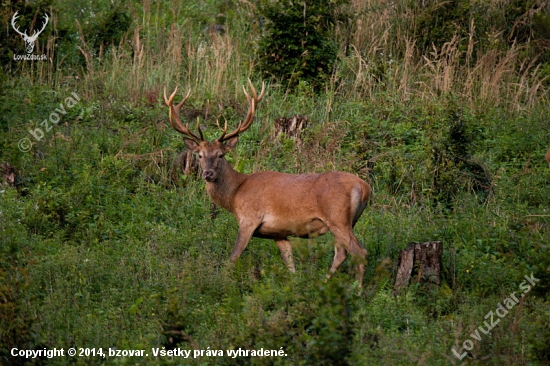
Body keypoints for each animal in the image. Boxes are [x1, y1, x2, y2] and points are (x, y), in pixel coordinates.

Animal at [163, 81, 370, 286]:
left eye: (220, 155)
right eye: (200, 155)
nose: (208, 174)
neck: (235, 194)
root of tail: (364, 187)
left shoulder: (249, 219)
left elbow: (233, 257)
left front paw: (222, 283)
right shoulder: (278, 232)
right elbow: (289, 263)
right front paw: (294, 285)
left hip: (338, 217)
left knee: (359, 251)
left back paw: (357, 289)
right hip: (349, 221)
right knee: (341, 253)